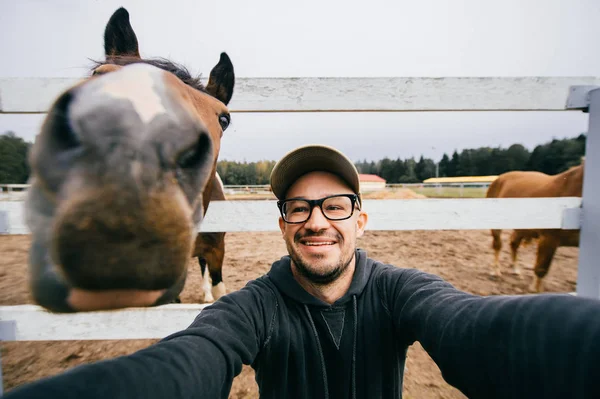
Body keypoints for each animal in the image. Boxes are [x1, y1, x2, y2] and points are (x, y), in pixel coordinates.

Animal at [486, 162, 584, 294]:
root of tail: (499, 178)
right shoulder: (548, 239)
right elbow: (541, 270)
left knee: (513, 243)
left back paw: (515, 269)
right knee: (498, 245)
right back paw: (495, 271)